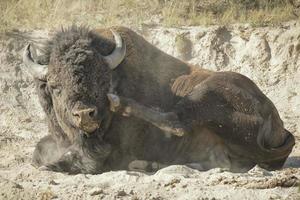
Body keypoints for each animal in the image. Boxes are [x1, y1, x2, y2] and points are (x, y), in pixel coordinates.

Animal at [22, 25, 294, 174]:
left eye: (101, 80)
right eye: (55, 87)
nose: (84, 114)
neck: (118, 74)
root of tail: (273, 115)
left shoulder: (106, 150)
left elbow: (83, 160)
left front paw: (53, 166)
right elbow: (38, 151)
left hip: (206, 94)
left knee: (178, 121)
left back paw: (121, 105)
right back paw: (147, 165)